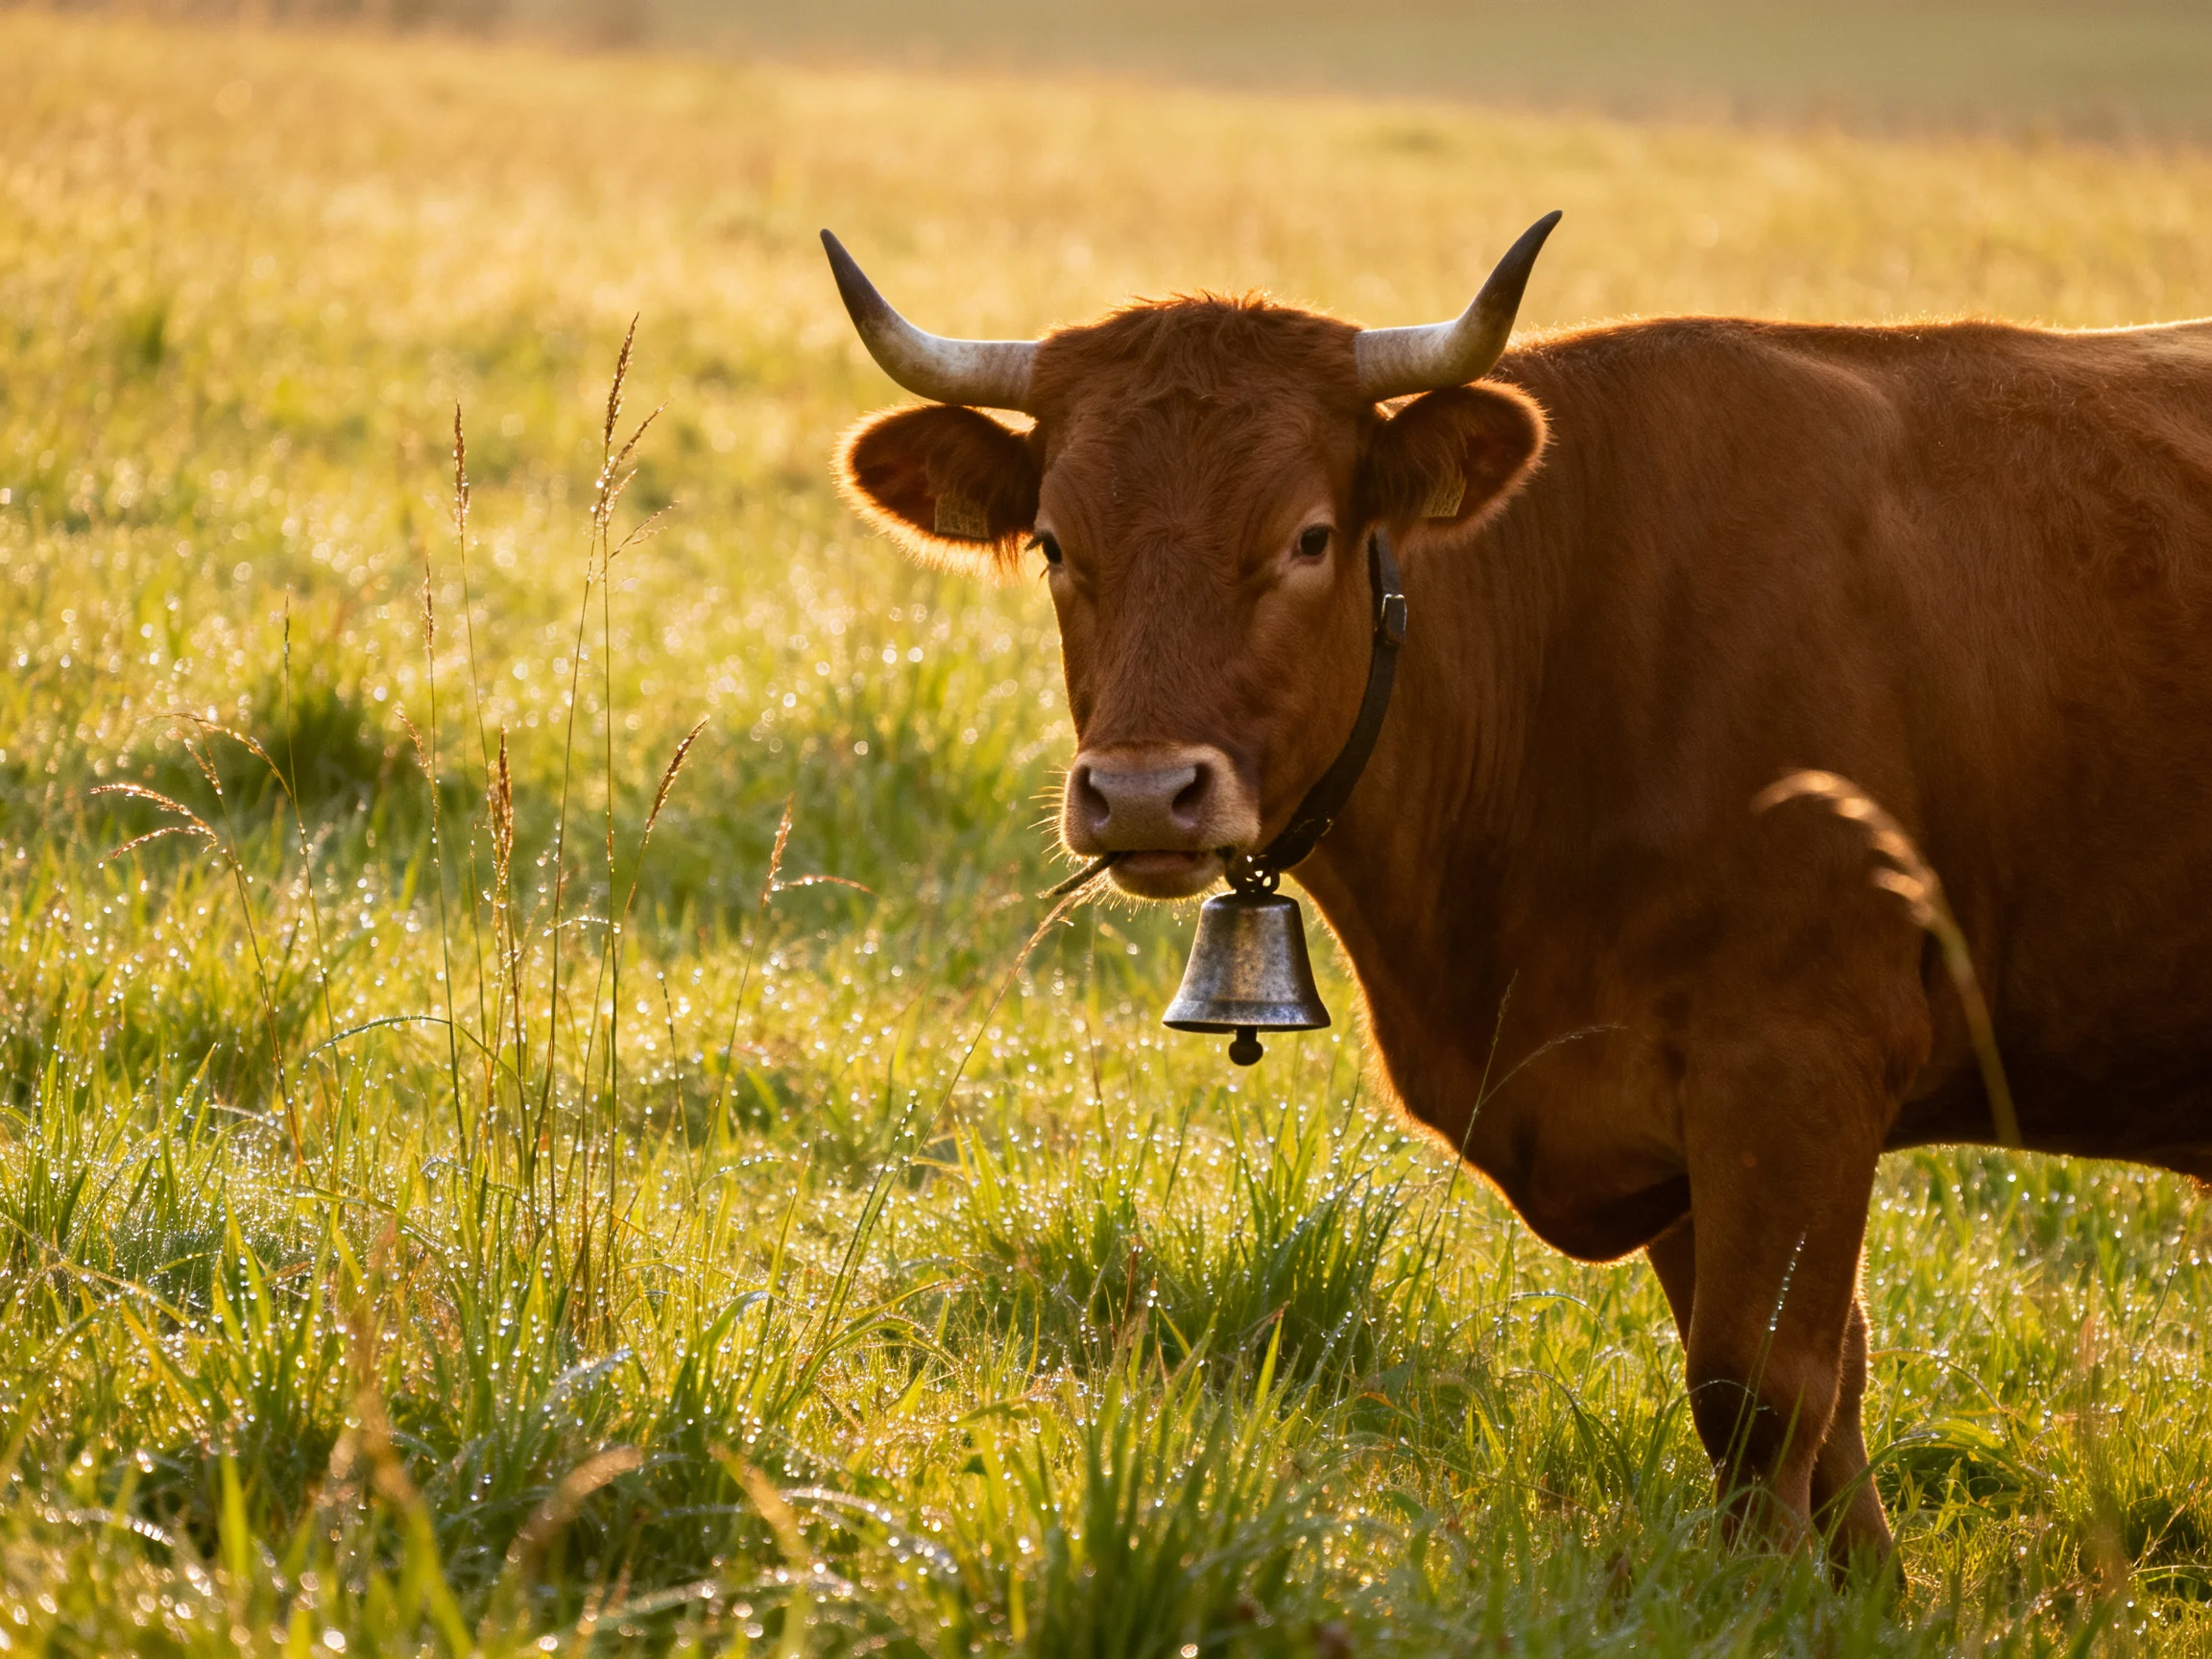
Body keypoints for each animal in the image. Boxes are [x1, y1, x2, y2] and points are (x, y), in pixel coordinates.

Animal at [820, 215, 2212, 1570]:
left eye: (1308, 538)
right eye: (1058, 543)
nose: (1147, 794)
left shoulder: (1800, 1058)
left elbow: (1761, 1390)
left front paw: (1760, 1603)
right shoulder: (1674, 1107)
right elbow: (1831, 1393)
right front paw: (1859, 1599)